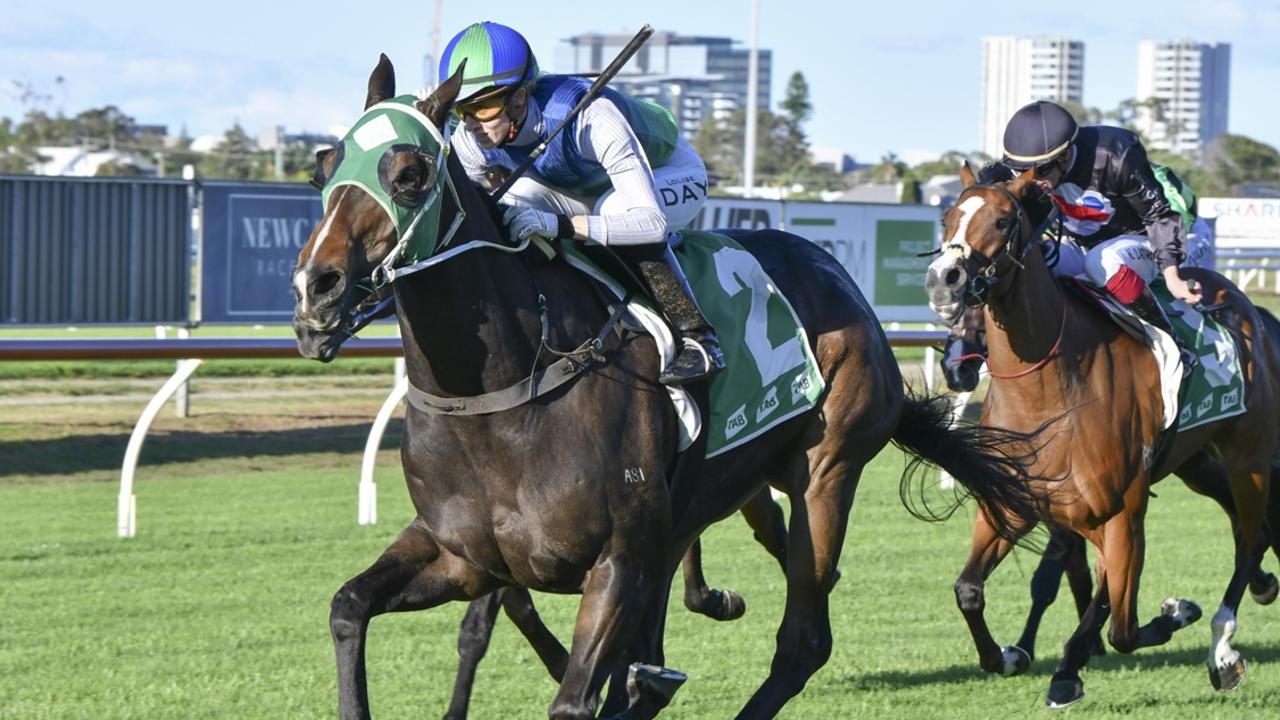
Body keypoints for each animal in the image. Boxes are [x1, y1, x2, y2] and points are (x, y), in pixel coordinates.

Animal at [293, 57, 1049, 717]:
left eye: (410, 172)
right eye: (323, 167)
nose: (313, 289)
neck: (501, 395)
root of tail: (843, 284)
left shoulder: (618, 560)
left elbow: (575, 696)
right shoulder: (464, 556)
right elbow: (348, 608)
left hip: (826, 469)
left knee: (803, 639)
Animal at [926, 163, 1280, 707]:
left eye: (1004, 221)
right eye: (947, 218)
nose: (945, 280)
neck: (1049, 392)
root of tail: (1252, 312)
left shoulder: (1121, 512)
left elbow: (1122, 626)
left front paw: (1172, 615)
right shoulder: (1012, 504)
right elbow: (969, 591)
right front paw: (1012, 655)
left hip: (1250, 458)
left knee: (1244, 539)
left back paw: (1222, 650)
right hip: (1195, 460)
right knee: (1249, 528)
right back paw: (1262, 584)